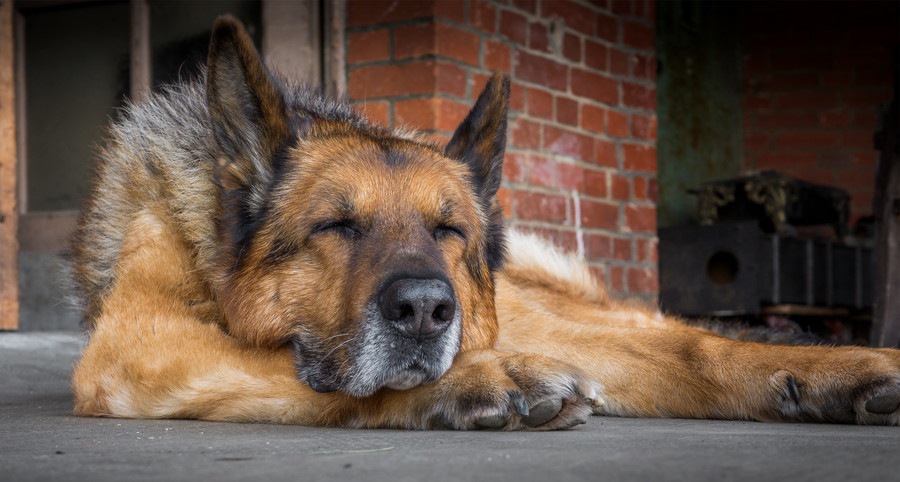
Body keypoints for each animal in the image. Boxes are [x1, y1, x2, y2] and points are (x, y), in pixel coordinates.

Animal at [72, 16, 900, 430]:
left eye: (450, 232)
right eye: (336, 226)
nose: (425, 311)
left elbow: (691, 355)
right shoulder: (140, 345)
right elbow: (305, 374)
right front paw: (478, 379)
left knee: (683, 336)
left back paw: (838, 362)